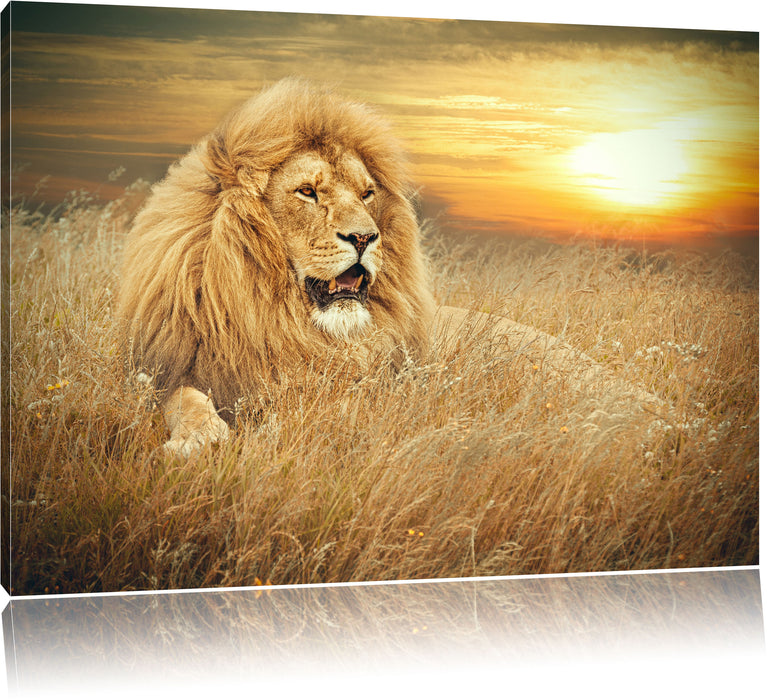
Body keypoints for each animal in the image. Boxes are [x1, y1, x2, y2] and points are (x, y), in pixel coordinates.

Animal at [118, 78, 656, 458]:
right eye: (307, 191)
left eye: (367, 193)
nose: (363, 238)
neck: (278, 319)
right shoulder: (166, 371)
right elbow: (185, 400)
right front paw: (197, 440)